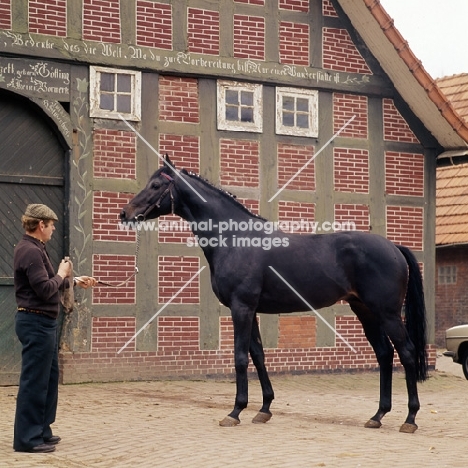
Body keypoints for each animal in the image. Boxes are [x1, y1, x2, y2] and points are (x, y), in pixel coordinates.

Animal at [120, 155, 428, 434]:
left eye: (156, 184)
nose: (125, 213)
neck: (234, 240)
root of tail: (394, 247)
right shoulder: (251, 310)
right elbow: (258, 355)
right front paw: (264, 408)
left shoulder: (241, 308)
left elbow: (240, 357)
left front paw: (235, 411)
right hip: (365, 312)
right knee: (384, 354)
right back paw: (377, 415)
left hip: (387, 314)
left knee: (406, 352)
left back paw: (410, 418)